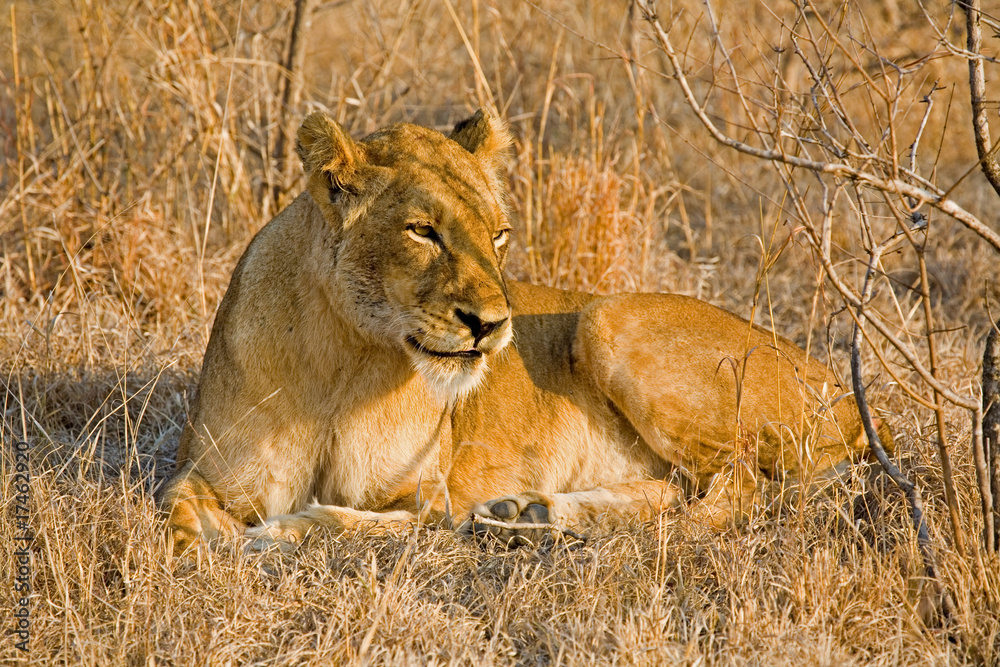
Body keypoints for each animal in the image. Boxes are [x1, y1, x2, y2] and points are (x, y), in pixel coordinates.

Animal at [160, 109, 891, 554]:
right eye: (422, 231)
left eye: (499, 234)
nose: (491, 325)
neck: (340, 358)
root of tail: (848, 391)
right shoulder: (200, 471)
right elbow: (172, 512)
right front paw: (207, 543)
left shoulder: (430, 502)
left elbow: (348, 524)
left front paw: (276, 534)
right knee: (678, 487)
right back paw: (529, 516)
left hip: (605, 318)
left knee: (734, 489)